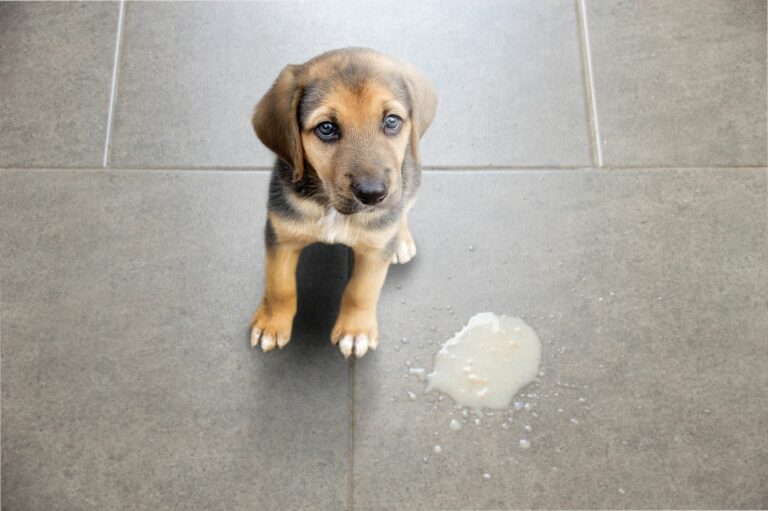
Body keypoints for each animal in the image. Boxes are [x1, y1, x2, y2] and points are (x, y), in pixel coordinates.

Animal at [249, 48, 436, 360]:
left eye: (392, 121)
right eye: (326, 128)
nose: (373, 194)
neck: (331, 207)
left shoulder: (374, 251)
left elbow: (362, 290)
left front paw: (355, 331)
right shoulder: (280, 234)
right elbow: (279, 285)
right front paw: (272, 324)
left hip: (411, 180)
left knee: (403, 210)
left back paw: (401, 240)